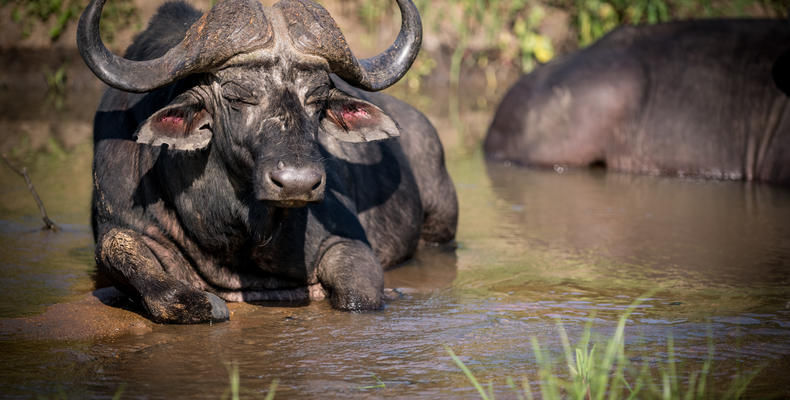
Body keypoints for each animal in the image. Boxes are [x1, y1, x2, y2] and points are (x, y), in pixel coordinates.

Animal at [76, 0, 458, 322]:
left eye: (318, 98)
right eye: (236, 96)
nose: (297, 184)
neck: (232, 228)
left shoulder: (349, 242)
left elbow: (359, 296)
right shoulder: (120, 223)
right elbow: (119, 250)